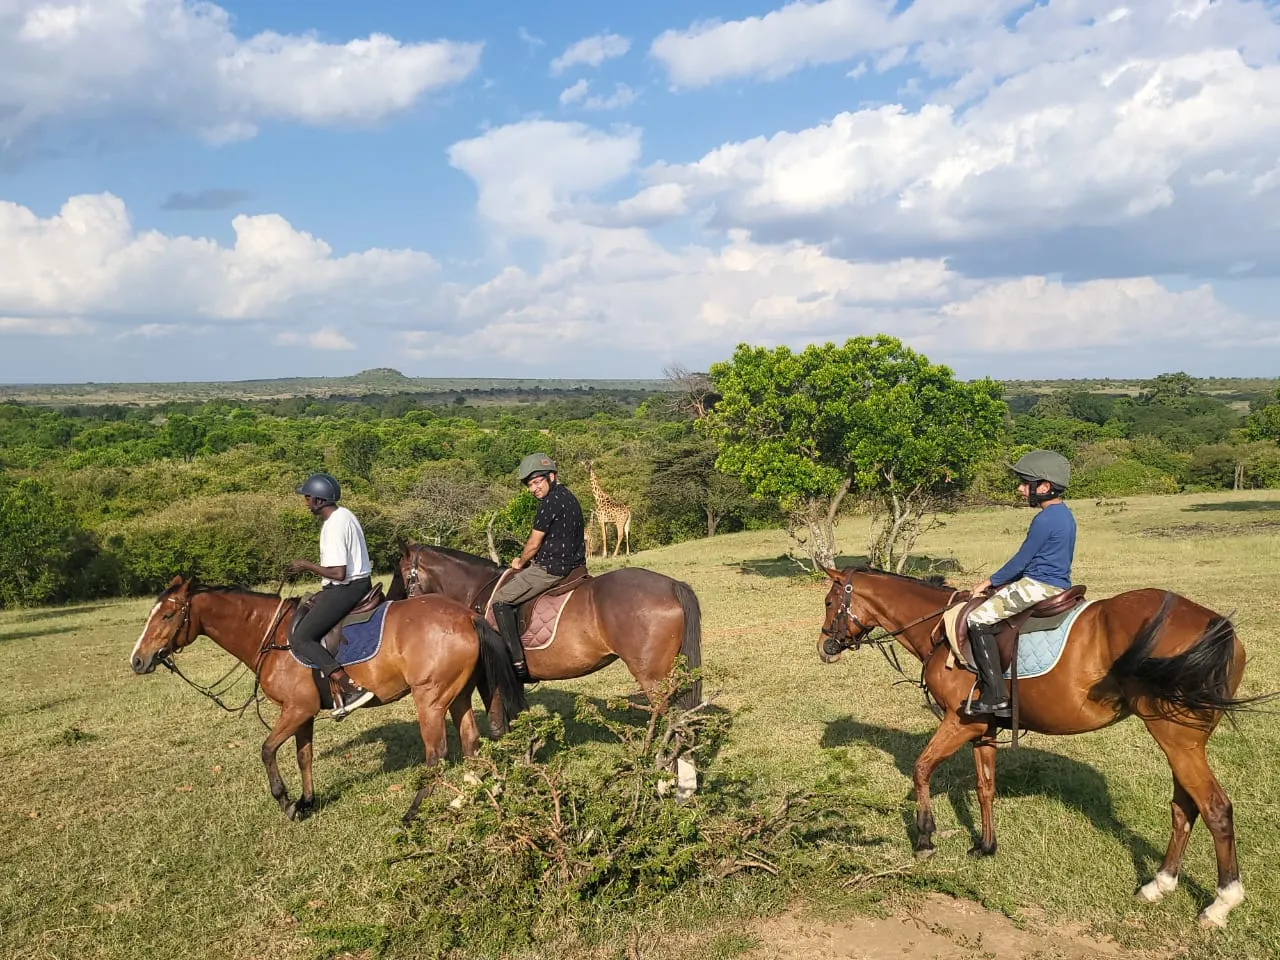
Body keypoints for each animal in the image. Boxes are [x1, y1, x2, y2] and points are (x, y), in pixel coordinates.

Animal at [128, 576, 524, 824]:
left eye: (167, 615)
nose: (137, 661)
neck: (272, 637)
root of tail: (468, 616)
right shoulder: (302, 713)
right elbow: (303, 756)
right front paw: (306, 801)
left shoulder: (295, 709)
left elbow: (267, 750)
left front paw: (285, 801)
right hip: (457, 696)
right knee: (471, 744)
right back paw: (466, 799)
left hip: (430, 699)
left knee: (436, 755)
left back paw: (412, 813)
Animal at [819, 568, 1269, 926]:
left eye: (828, 602)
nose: (825, 648)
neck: (942, 632)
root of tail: (1214, 624)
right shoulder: (982, 728)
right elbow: (985, 786)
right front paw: (985, 847)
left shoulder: (959, 722)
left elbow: (921, 768)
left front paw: (926, 839)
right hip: (1181, 743)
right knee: (1184, 808)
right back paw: (1159, 884)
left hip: (1177, 740)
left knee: (1214, 808)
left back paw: (1221, 903)